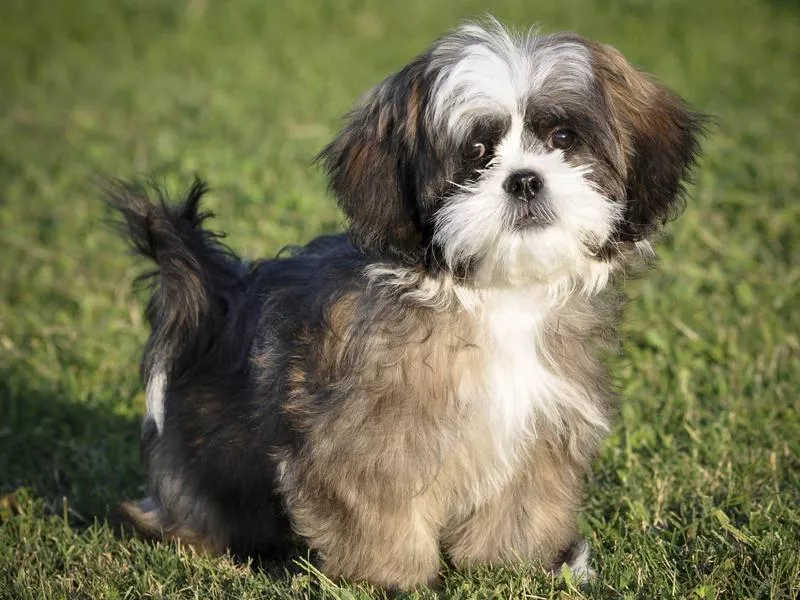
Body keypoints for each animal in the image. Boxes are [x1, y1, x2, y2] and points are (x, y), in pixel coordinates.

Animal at [109, 19, 704, 592]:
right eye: (476, 154)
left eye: (563, 137)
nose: (524, 180)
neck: (493, 295)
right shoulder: (363, 437)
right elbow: (378, 508)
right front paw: (393, 579)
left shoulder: (541, 429)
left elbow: (521, 505)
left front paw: (513, 567)